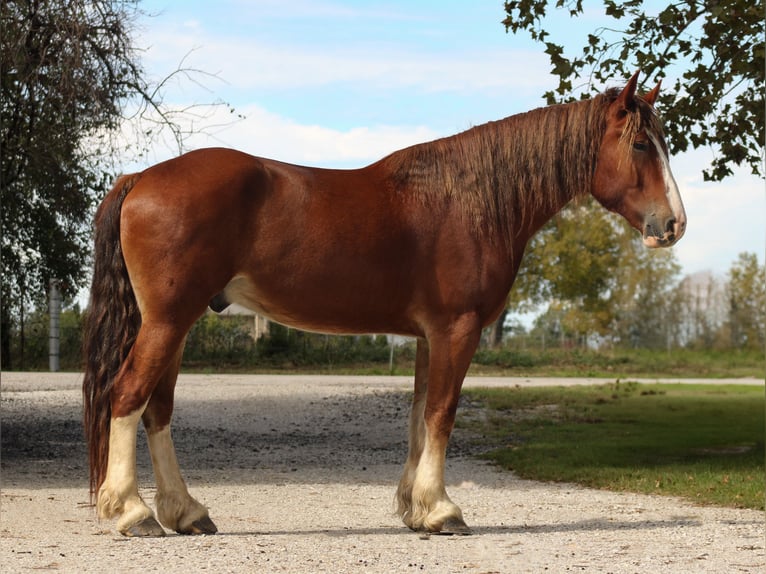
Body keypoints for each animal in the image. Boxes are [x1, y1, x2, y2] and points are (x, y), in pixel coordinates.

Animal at [82, 71, 686, 537]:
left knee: (157, 409)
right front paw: (443, 511)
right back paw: (133, 513)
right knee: (128, 395)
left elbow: (420, 415)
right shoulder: (457, 329)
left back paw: (185, 512)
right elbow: (442, 413)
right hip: (167, 321)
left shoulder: (427, 337)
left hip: (175, 324)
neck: (470, 200)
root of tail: (141, 178)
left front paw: (415, 508)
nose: (674, 225)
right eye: (640, 145)